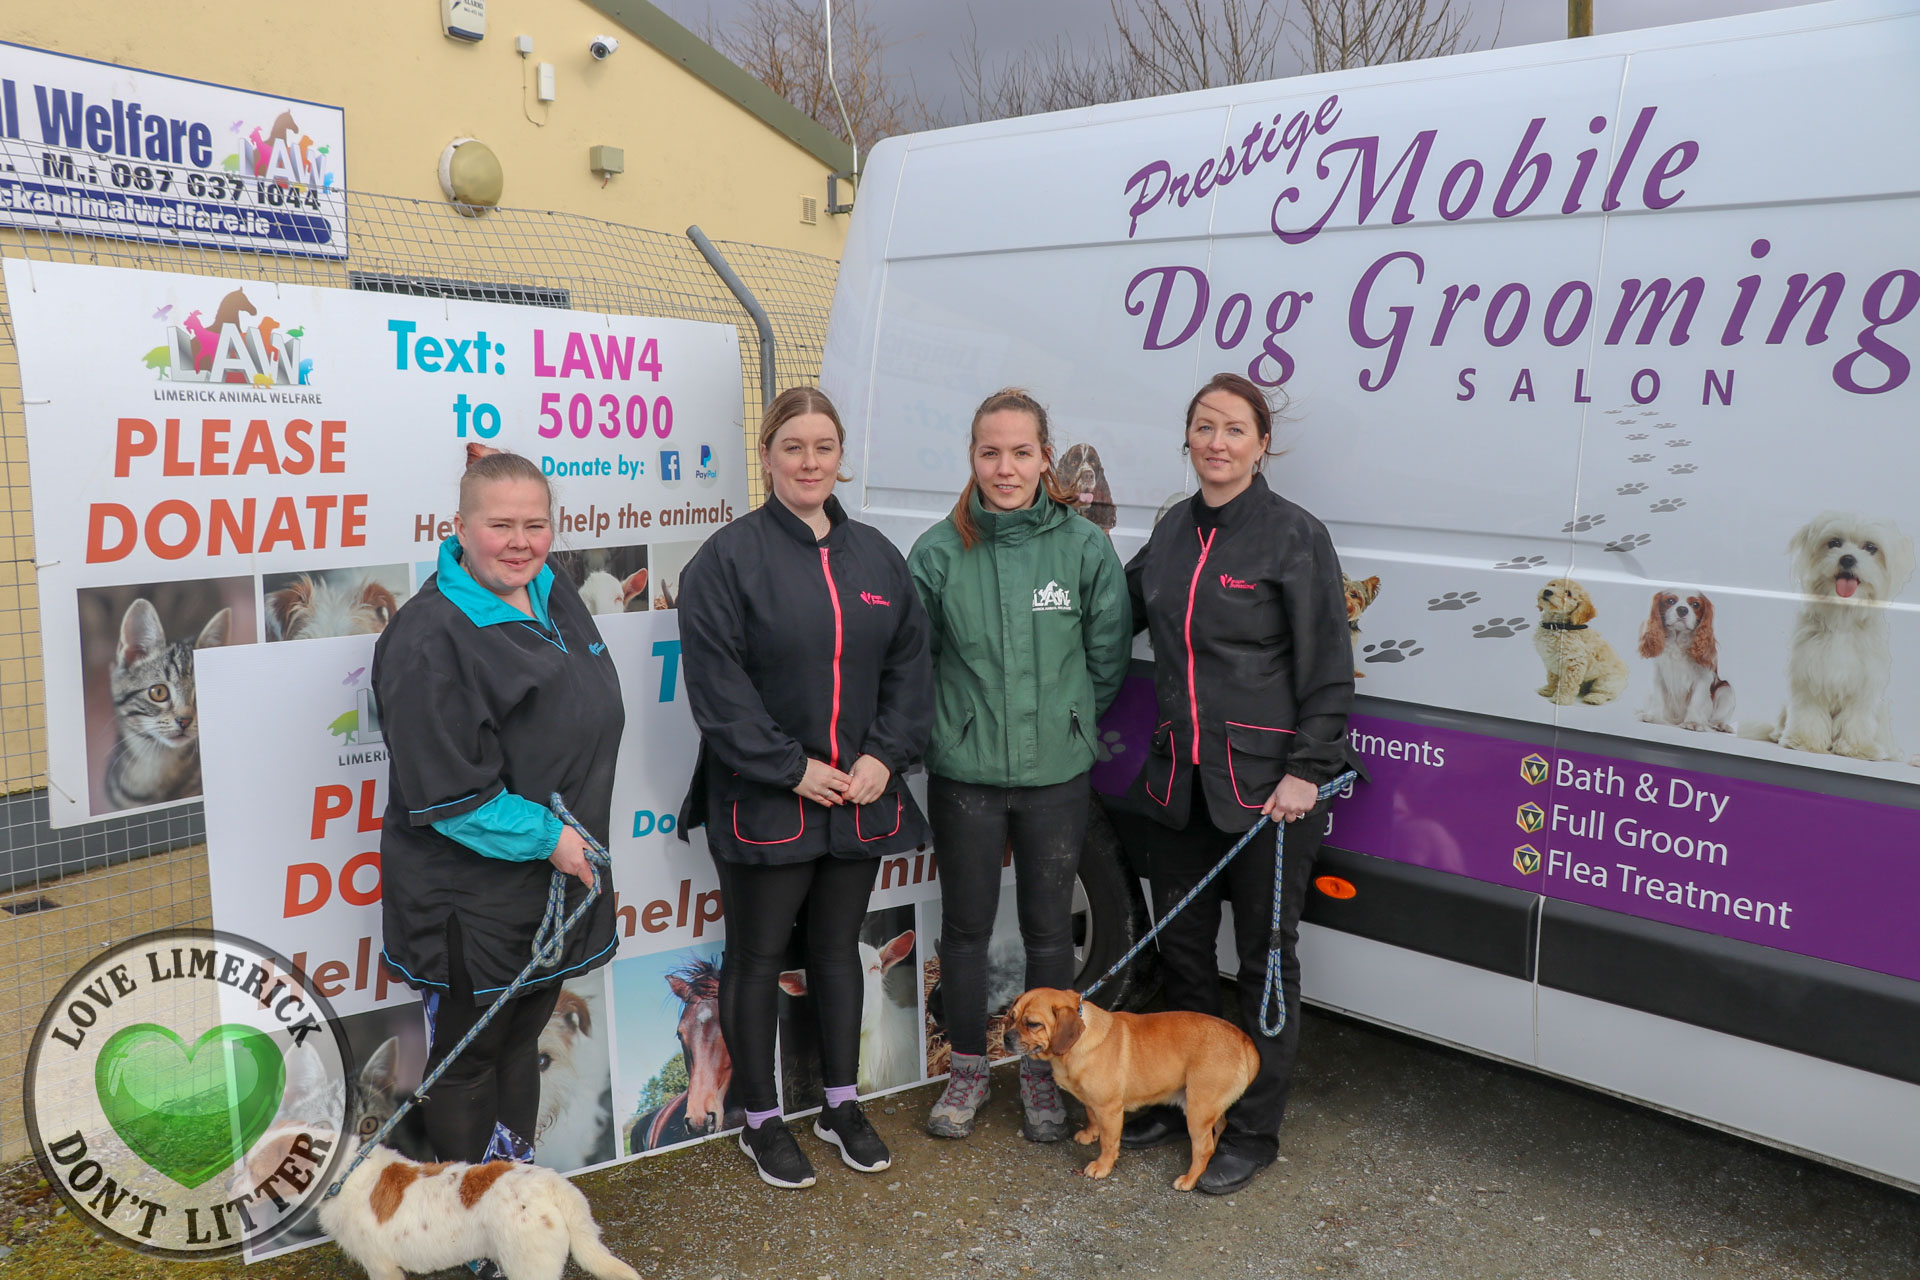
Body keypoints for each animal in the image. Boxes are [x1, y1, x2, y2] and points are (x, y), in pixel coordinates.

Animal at [1006, 990, 1259, 1189]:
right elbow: (1091, 1117)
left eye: (1033, 1024)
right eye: (1012, 1017)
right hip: (1208, 1108)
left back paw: (1190, 1179)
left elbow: (1108, 1143)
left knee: (1204, 1148)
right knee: (1219, 1128)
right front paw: (1090, 1134)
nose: (1006, 1037)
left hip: (1197, 1110)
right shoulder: (1092, 1102)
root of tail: (1244, 1041)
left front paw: (1102, 1166)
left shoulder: (1110, 1109)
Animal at [1635, 591, 1743, 729]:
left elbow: (1696, 701)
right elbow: (1657, 697)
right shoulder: (1658, 674)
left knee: (1715, 718)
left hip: (1726, 689)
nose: (1682, 609)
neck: (1677, 641)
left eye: (1695, 604)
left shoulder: (1703, 677)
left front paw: (1692, 722)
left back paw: (1720, 725)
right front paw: (1653, 716)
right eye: (1670, 601)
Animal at [1751, 514, 1912, 759]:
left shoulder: (1863, 685)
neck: (1843, 615)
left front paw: (1857, 748)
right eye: (1834, 543)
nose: (1847, 559)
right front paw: (1804, 741)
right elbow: (1809, 712)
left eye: (1871, 548)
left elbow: (1856, 718)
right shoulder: (1809, 676)